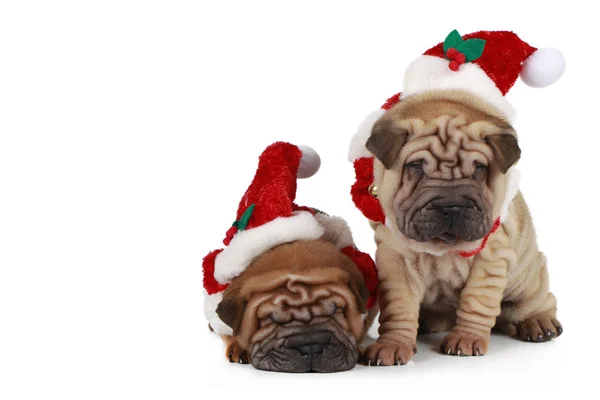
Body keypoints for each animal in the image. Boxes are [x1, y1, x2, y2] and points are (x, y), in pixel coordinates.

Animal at [350, 89, 560, 364]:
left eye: (479, 168)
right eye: (416, 167)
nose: (451, 206)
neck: (440, 249)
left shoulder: (490, 259)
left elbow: (476, 302)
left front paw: (466, 339)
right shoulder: (395, 260)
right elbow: (399, 307)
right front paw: (393, 344)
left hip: (527, 279)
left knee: (538, 301)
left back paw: (540, 323)